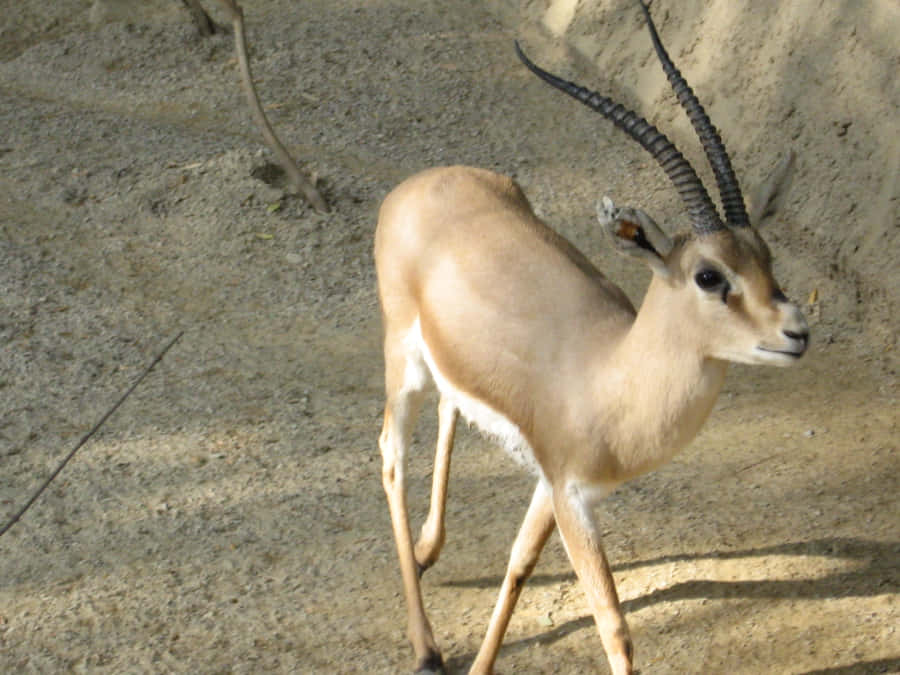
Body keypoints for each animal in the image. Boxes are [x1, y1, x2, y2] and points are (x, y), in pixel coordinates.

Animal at [374, 2, 808, 673]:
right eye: (709, 275)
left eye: (766, 258)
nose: (795, 332)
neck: (611, 375)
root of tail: (418, 184)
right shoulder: (572, 494)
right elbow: (613, 625)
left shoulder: (552, 485)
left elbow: (519, 563)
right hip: (404, 360)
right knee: (391, 456)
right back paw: (425, 647)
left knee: (450, 407)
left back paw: (427, 551)